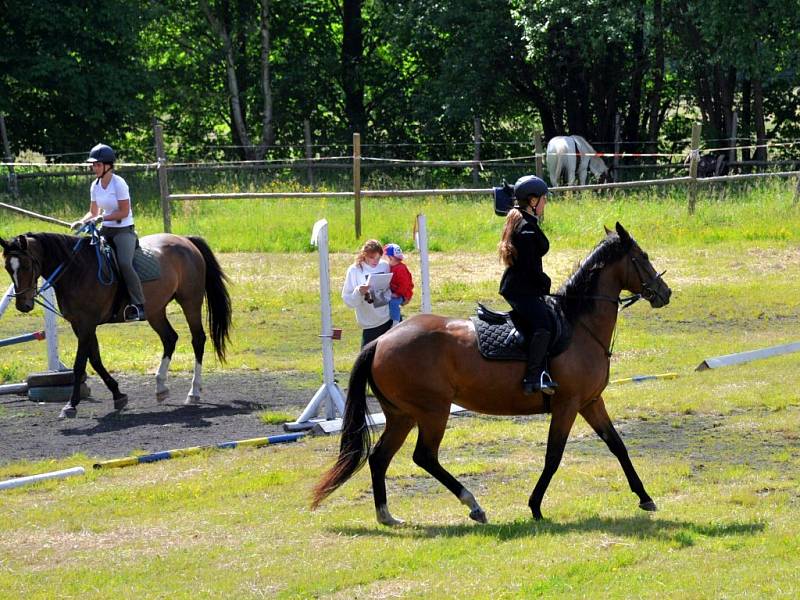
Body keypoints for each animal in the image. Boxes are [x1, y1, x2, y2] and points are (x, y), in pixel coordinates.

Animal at [0, 227, 231, 420]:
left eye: (26, 265)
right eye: (7, 268)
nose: (23, 305)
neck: (76, 270)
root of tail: (186, 240)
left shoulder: (86, 324)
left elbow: (79, 364)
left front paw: (70, 405)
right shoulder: (81, 325)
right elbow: (95, 360)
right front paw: (118, 395)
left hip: (190, 301)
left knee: (198, 339)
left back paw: (193, 392)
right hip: (156, 310)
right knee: (170, 338)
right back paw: (160, 388)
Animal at [312, 223, 668, 524]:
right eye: (643, 257)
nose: (665, 292)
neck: (579, 324)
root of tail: (382, 340)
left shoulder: (591, 402)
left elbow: (617, 445)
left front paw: (645, 497)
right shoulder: (567, 405)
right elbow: (553, 456)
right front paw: (535, 506)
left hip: (402, 415)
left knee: (379, 458)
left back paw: (387, 515)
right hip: (432, 411)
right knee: (424, 456)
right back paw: (473, 504)